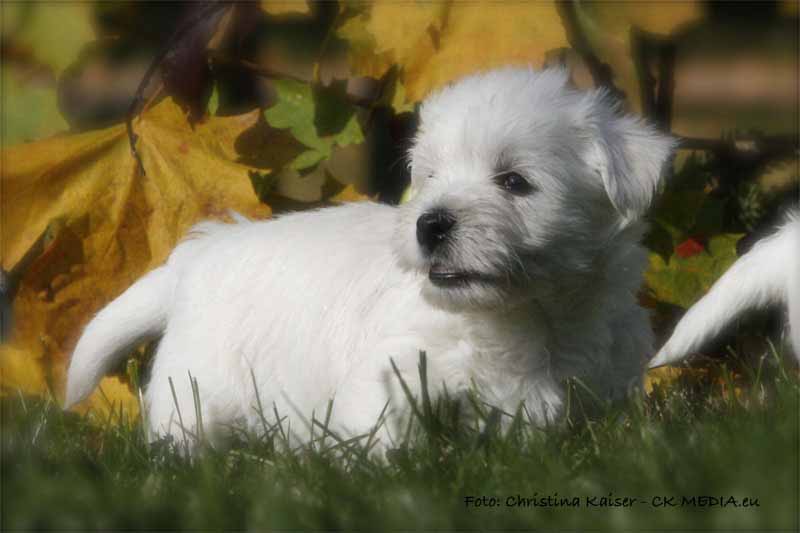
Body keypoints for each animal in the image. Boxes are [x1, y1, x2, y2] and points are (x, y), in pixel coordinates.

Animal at [64, 66, 676, 448]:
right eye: (430, 177)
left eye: (515, 181)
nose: (430, 223)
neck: (527, 317)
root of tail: (198, 257)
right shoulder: (395, 373)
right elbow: (387, 439)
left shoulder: (600, 381)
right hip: (198, 386)